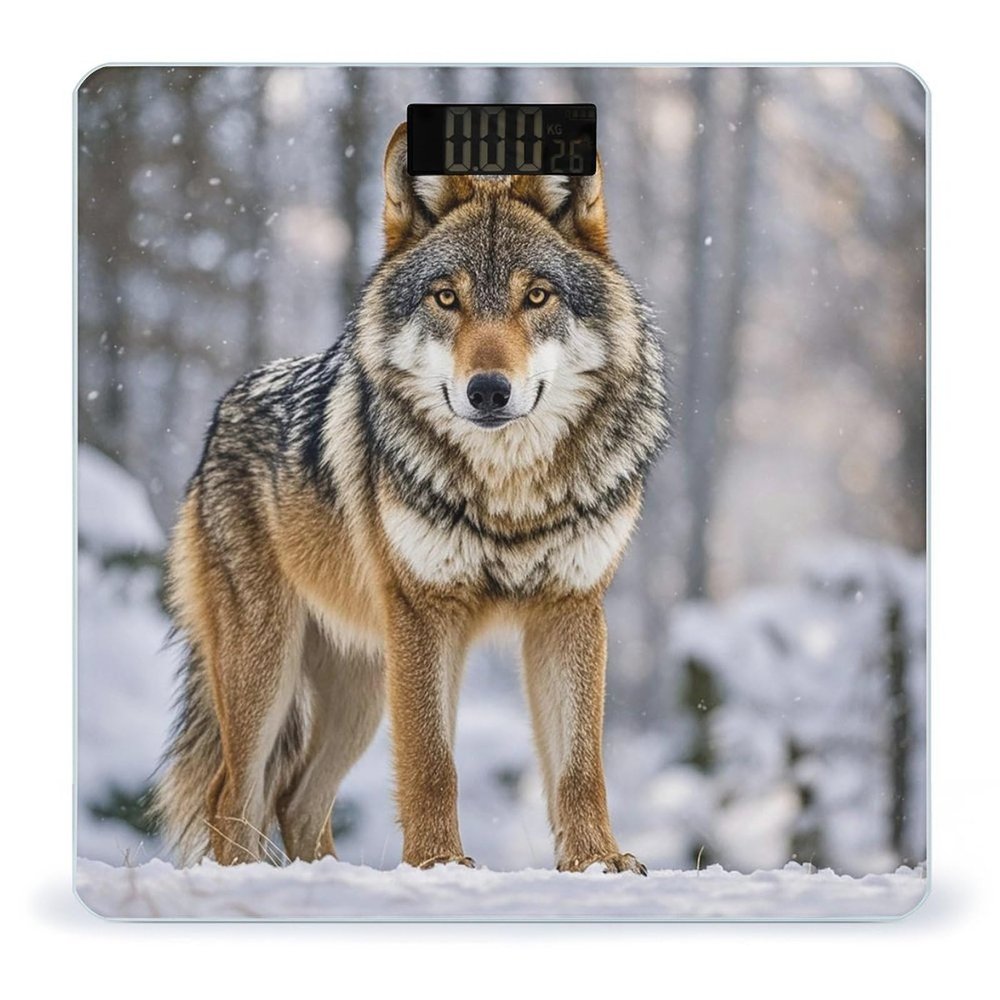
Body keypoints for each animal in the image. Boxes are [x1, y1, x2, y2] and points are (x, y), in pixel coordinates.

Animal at [155, 123, 668, 874]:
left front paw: (597, 862)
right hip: (269, 667)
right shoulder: (427, 614)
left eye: (537, 297)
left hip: (363, 684)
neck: (509, 496)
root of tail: (221, 412)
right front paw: (437, 866)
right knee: (234, 797)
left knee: (298, 801)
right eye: (446, 298)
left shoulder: (570, 609)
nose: (489, 390)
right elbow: (432, 764)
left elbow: (580, 767)